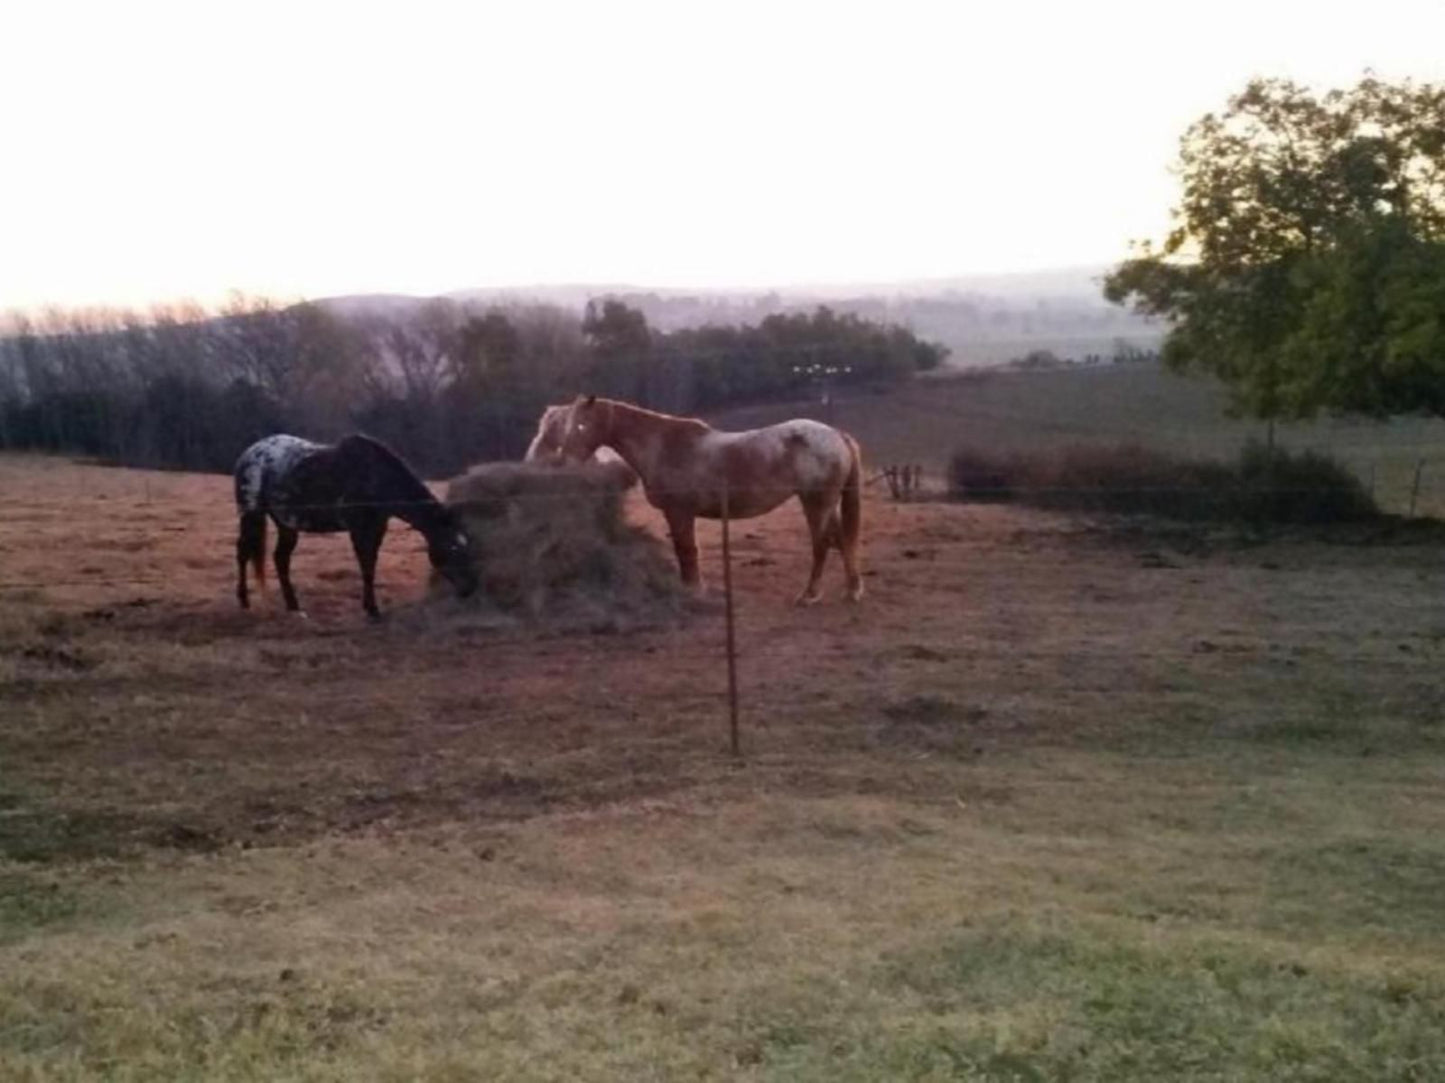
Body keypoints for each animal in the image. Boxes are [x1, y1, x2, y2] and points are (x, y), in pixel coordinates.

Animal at [231, 433, 476, 615]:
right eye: (452, 547)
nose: (469, 589)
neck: (374, 478)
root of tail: (249, 453)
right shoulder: (360, 530)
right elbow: (366, 567)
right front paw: (372, 611)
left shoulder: (377, 528)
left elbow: (371, 566)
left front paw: (370, 607)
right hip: (250, 514)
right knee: (243, 552)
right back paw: (244, 601)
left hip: (286, 523)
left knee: (280, 558)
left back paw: (294, 606)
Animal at [554, 393, 861, 604]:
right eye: (566, 427)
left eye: (581, 426)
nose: (564, 462)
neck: (664, 446)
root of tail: (837, 435)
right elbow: (688, 550)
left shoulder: (679, 512)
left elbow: (686, 550)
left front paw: (692, 590)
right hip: (827, 505)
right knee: (842, 540)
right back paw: (852, 590)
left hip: (816, 503)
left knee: (822, 544)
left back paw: (810, 595)